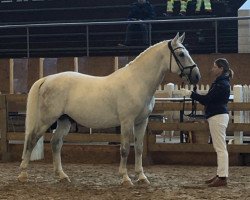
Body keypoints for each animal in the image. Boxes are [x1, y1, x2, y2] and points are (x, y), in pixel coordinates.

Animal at [17, 32, 200, 186]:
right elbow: (125, 149)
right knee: (31, 140)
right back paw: (23, 175)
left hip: (64, 120)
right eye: (181, 54)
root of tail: (47, 79)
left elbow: (139, 148)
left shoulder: (141, 122)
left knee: (56, 144)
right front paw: (125, 178)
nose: (196, 76)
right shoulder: (126, 122)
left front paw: (141, 177)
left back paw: (62, 176)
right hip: (46, 120)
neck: (138, 81)